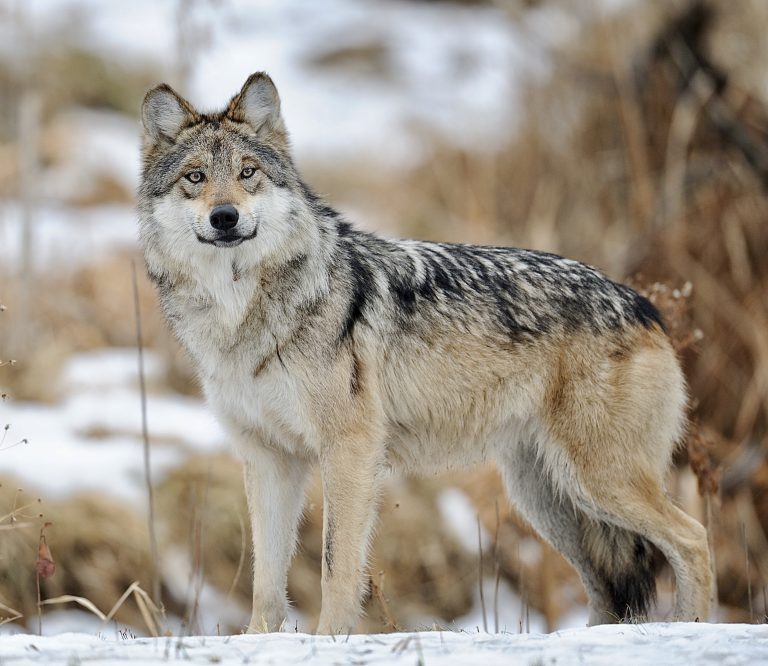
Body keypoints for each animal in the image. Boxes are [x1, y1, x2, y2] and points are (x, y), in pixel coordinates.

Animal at [138, 73, 712, 634]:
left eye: (248, 172)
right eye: (195, 177)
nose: (225, 216)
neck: (241, 314)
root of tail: (644, 305)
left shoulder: (350, 450)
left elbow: (335, 567)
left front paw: (330, 640)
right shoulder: (267, 458)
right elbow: (266, 581)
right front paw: (261, 642)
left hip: (598, 482)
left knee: (694, 539)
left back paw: (693, 625)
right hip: (549, 499)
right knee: (609, 592)